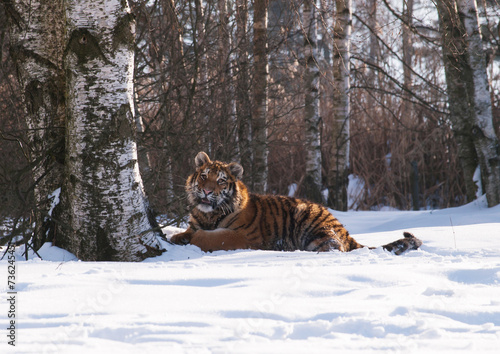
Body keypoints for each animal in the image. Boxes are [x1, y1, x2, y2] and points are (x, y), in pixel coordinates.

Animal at [169, 151, 422, 254]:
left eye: (220, 181)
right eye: (204, 176)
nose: (206, 190)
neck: (207, 214)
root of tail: (345, 231)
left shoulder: (243, 236)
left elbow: (212, 237)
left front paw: (194, 239)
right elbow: (186, 232)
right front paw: (178, 238)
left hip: (310, 220)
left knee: (336, 248)